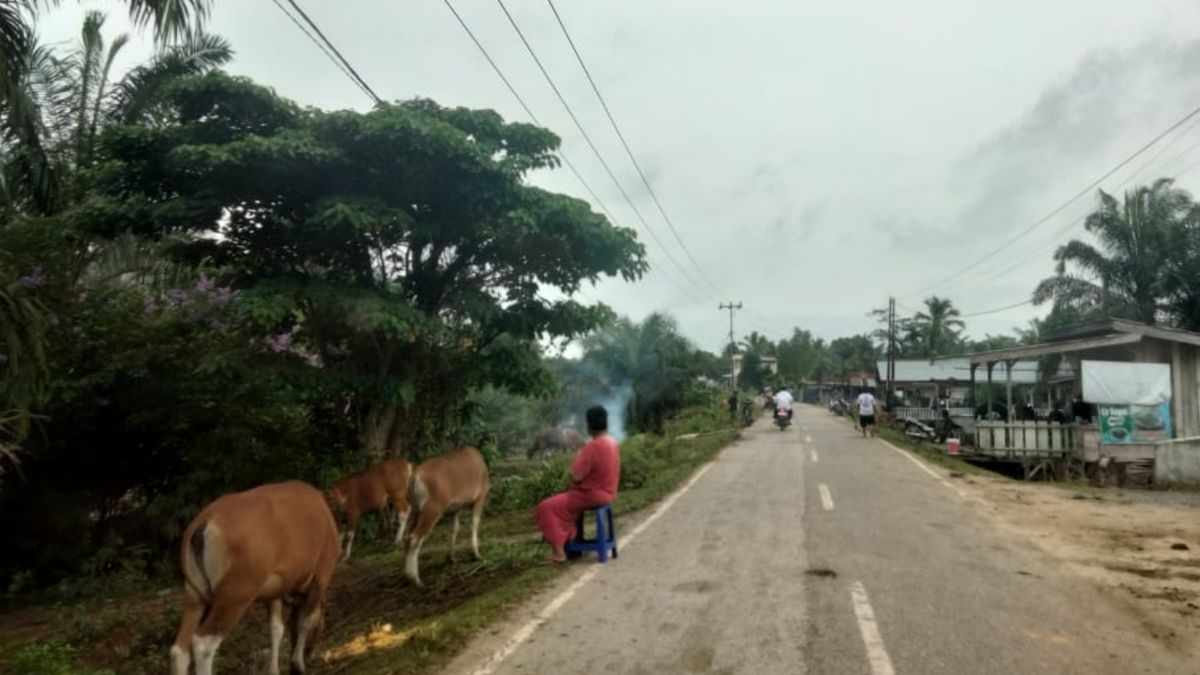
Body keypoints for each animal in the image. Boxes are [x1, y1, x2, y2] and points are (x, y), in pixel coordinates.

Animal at [169, 478, 340, 672]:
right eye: (323, 624)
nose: (309, 652)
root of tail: (204, 523)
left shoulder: (275, 590)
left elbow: (276, 629)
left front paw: (274, 670)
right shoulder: (322, 575)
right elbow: (305, 620)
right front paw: (298, 663)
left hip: (194, 595)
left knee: (179, 650)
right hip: (235, 595)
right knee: (203, 644)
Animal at [405, 446, 489, 583]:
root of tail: (415, 476)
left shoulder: (455, 509)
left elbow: (455, 529)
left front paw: (451, 558)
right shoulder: (480, 497)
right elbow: (474, 523)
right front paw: (476, 554)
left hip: (415, 511)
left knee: (406, 537)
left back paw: (407, 575)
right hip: (432, 510)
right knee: (415, 538)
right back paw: (416, 579)